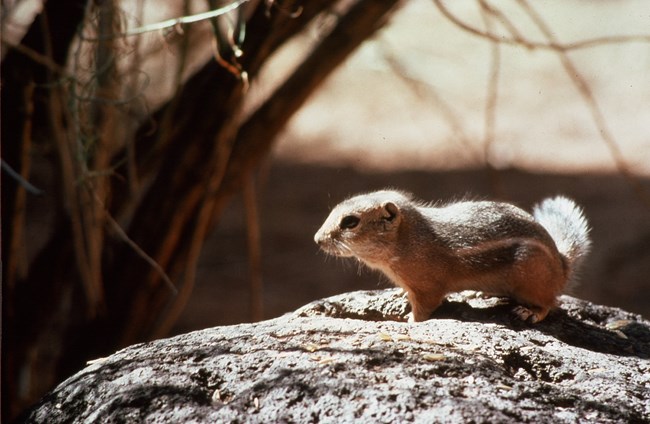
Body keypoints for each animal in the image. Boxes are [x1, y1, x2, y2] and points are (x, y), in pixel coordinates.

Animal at [312, 190, 588, 322]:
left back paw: (529, 312)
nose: (317, 239)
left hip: (532, 277)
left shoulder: (428, 288)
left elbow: (424, 309)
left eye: (350, 222)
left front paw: (409, 321)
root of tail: (562, 264)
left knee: (550, 303)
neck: (410, 240)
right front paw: (397, 294)